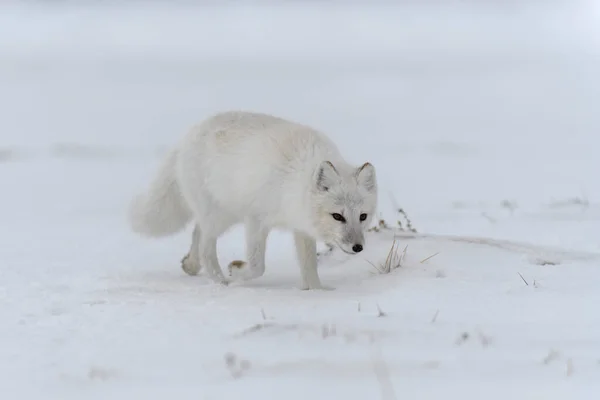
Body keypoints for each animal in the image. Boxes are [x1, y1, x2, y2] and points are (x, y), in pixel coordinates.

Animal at [129, 111, 378, 290]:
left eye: (363, 216)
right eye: (338, 216)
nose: (358, 247)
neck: (293, 181)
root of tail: (188, 136)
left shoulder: (301, 227)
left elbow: (309, 268)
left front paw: (316, 293)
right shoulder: (256, 220)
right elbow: (258, 266)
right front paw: (236, 271)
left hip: (223, 216)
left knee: (197, 233)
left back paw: (191, 265)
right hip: (220, 218)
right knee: (206, 248)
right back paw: (221, 282)